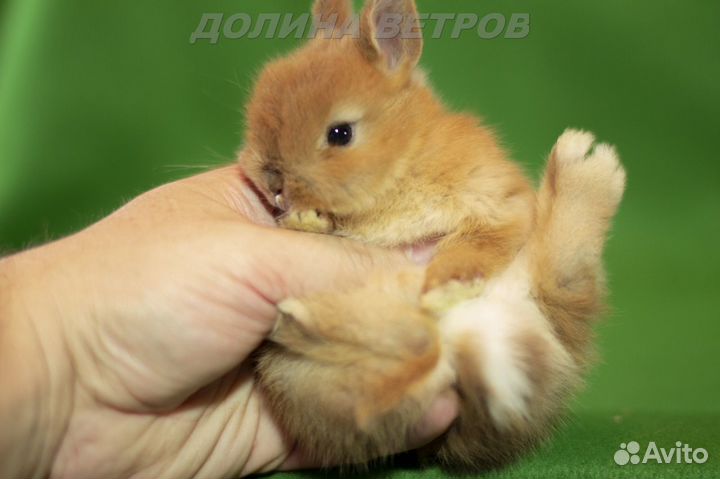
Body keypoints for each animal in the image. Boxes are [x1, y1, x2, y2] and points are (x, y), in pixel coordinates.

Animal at [238, 0, 626, 470]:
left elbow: (473, 247)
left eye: (340, 133)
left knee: (558, 268)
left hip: (551, 294)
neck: (405, 159)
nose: (273, 182)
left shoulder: (497, 206)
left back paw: (585, 164)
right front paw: (305, 220)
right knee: (393, 388)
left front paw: (445, 288)